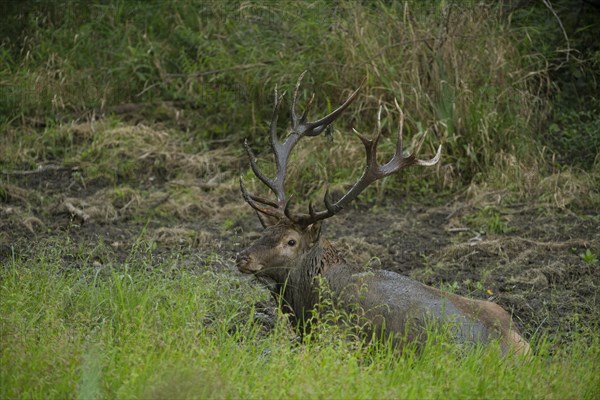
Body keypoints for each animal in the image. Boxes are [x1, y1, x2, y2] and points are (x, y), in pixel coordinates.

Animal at [234, 73, 528, 354]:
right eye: (265, 231)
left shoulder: (340, 335)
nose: (242, 257)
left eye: (291, 241)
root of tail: (515, 346)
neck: (308, 302)